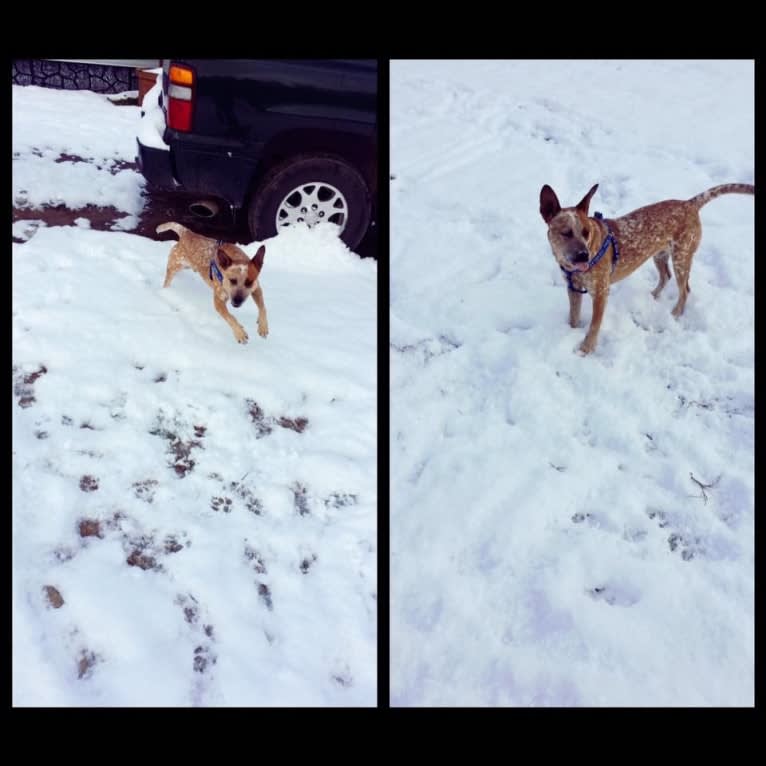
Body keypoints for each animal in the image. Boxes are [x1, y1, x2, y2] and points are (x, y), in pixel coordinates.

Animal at [540, 184, 756, 356]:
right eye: (566, 233)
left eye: (586, 232)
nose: (584, 256)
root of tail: (689, 204)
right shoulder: (573, 289)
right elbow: (573, 317)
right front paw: (570, 332)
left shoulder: (601, 293)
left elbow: (594, 326)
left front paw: (586, 349)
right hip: (659, 255)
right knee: (666, 276)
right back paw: (653, 295)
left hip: (682, 257)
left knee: (685, 289)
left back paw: (675, 313)